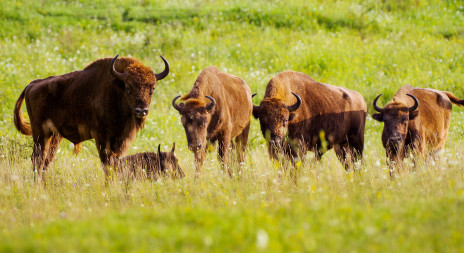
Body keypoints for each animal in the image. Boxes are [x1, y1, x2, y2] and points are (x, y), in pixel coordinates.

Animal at [14, 54, 170, 182]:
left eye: (152, 88)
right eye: (128, 87)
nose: (141, 110)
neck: (115, 89)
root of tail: (32, 84)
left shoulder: (119, 140)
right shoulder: (102, 137)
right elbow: (107, 164)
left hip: (54, 136)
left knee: (46, 160)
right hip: (40, 134)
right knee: (38, 159)